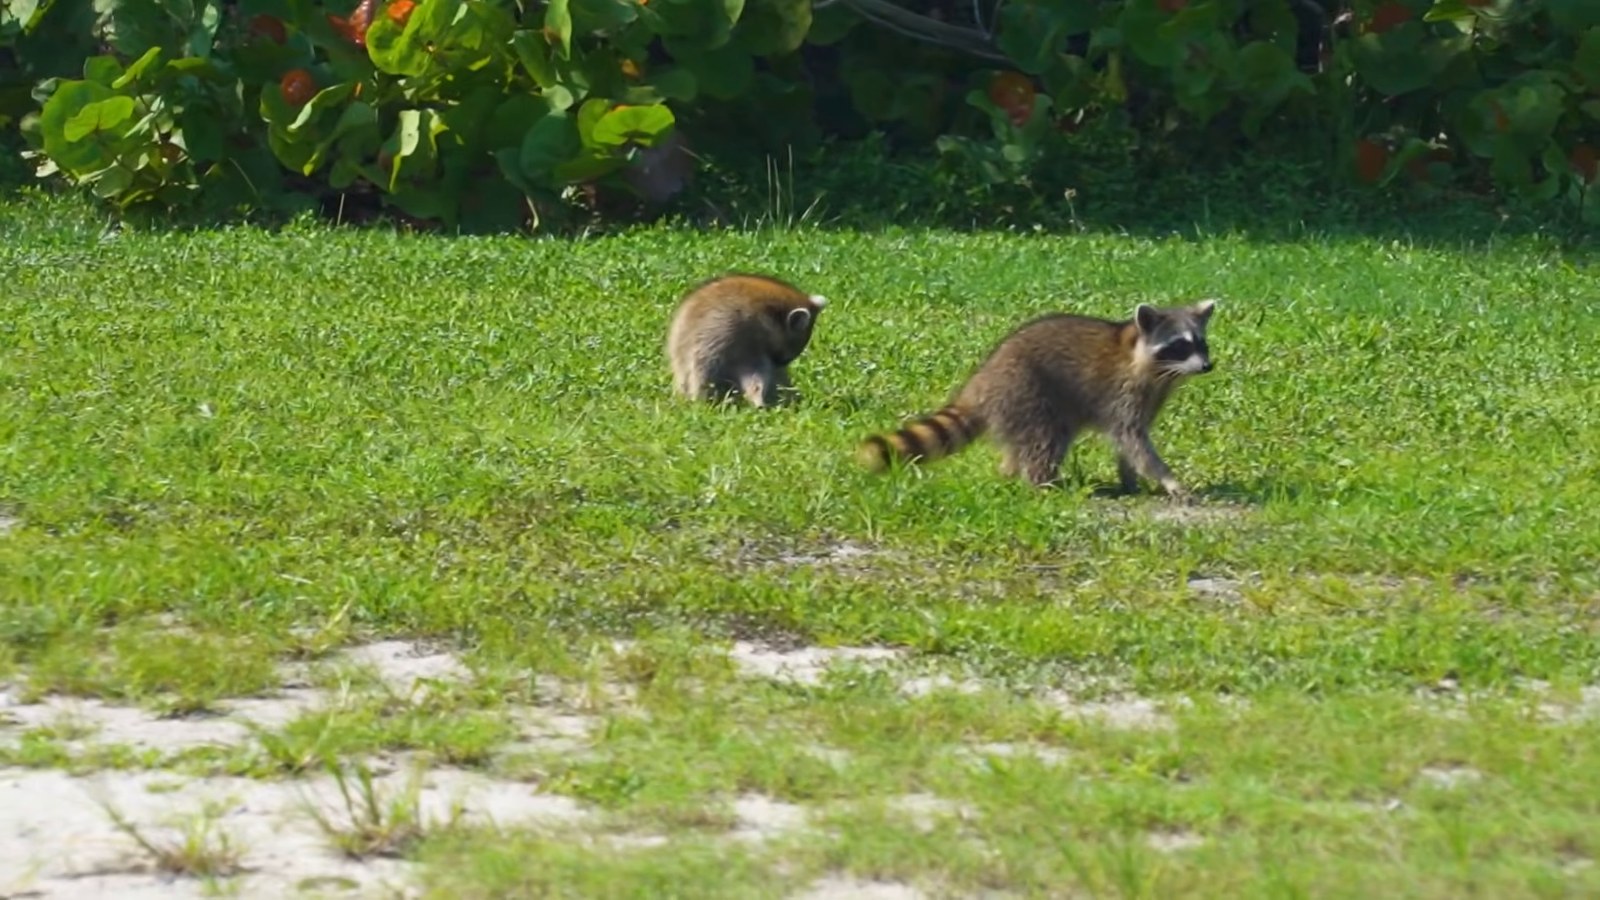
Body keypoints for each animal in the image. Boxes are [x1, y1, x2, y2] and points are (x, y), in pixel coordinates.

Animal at [857, 300, 1217, 496]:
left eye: (1201, 343)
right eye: (1180, 345)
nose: (1207, 366)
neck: (1155, 368)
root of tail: (981, 381)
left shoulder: (1151, 396)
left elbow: (1129, 443)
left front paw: (1129, 479)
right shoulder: (1123, 391)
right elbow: (1133, 440)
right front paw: (1166, 478)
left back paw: (1009, 473)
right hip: (1026, 391)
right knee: (1045, 439)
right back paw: (1041, 483)